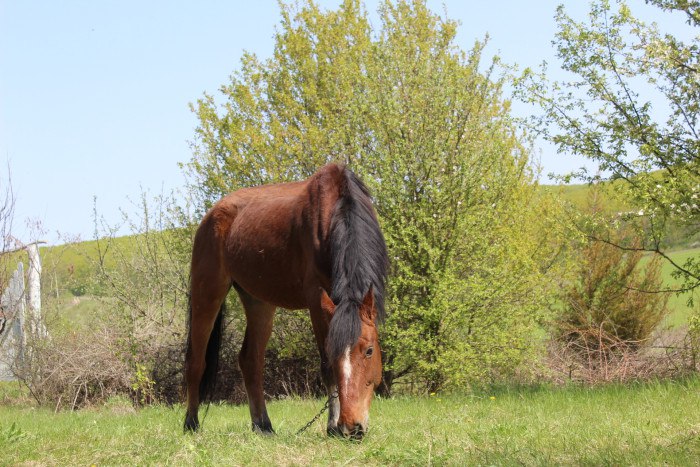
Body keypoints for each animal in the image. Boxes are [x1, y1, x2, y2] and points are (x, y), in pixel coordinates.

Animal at [183, 164, 388, 438]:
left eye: (369, 351)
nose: (351, 426)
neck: (337, 209)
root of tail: (211, 215)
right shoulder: (316, 299)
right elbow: (326, 367)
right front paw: (332, 425)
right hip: (207, 294)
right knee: (197, 361)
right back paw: (191, 423)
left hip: (259, 301)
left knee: (250, 360)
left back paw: (263, 425)